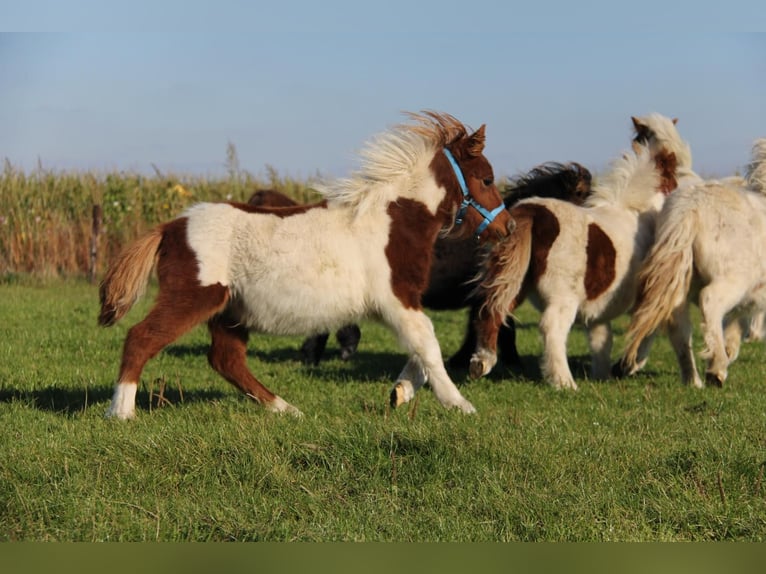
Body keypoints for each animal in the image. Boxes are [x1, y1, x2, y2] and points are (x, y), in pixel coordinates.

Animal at [97, 112, 516, 418]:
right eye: (486, 179)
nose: (507, 226)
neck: (394, 220)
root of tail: (170, 227)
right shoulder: (397, 298)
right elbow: (427, 344)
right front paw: (459, 403)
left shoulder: (397, 305)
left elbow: (419, 348)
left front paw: (400, 393)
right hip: (193, 298)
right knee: (141, 338)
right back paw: (121, 412)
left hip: (229, 312)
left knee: (226, 359)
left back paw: (285, 409)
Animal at [468, 142, 680, 392]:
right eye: (675, 183)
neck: (635, 213)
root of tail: (533, 213)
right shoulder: (649, 295)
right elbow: (647, 329)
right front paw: (627, 366)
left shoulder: (597, 312)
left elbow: (602, 341)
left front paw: (603, 376)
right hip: (562, 298)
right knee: (551, 328)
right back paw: (564, 382)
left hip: (514, 282)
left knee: (493, 311)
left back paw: (480, 363)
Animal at [616, 138, 766, 390]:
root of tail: (689, 208)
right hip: (732, 280)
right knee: (710, 301)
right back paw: (716, 369)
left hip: (678, 284)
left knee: (676, 325)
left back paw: (692, 378)